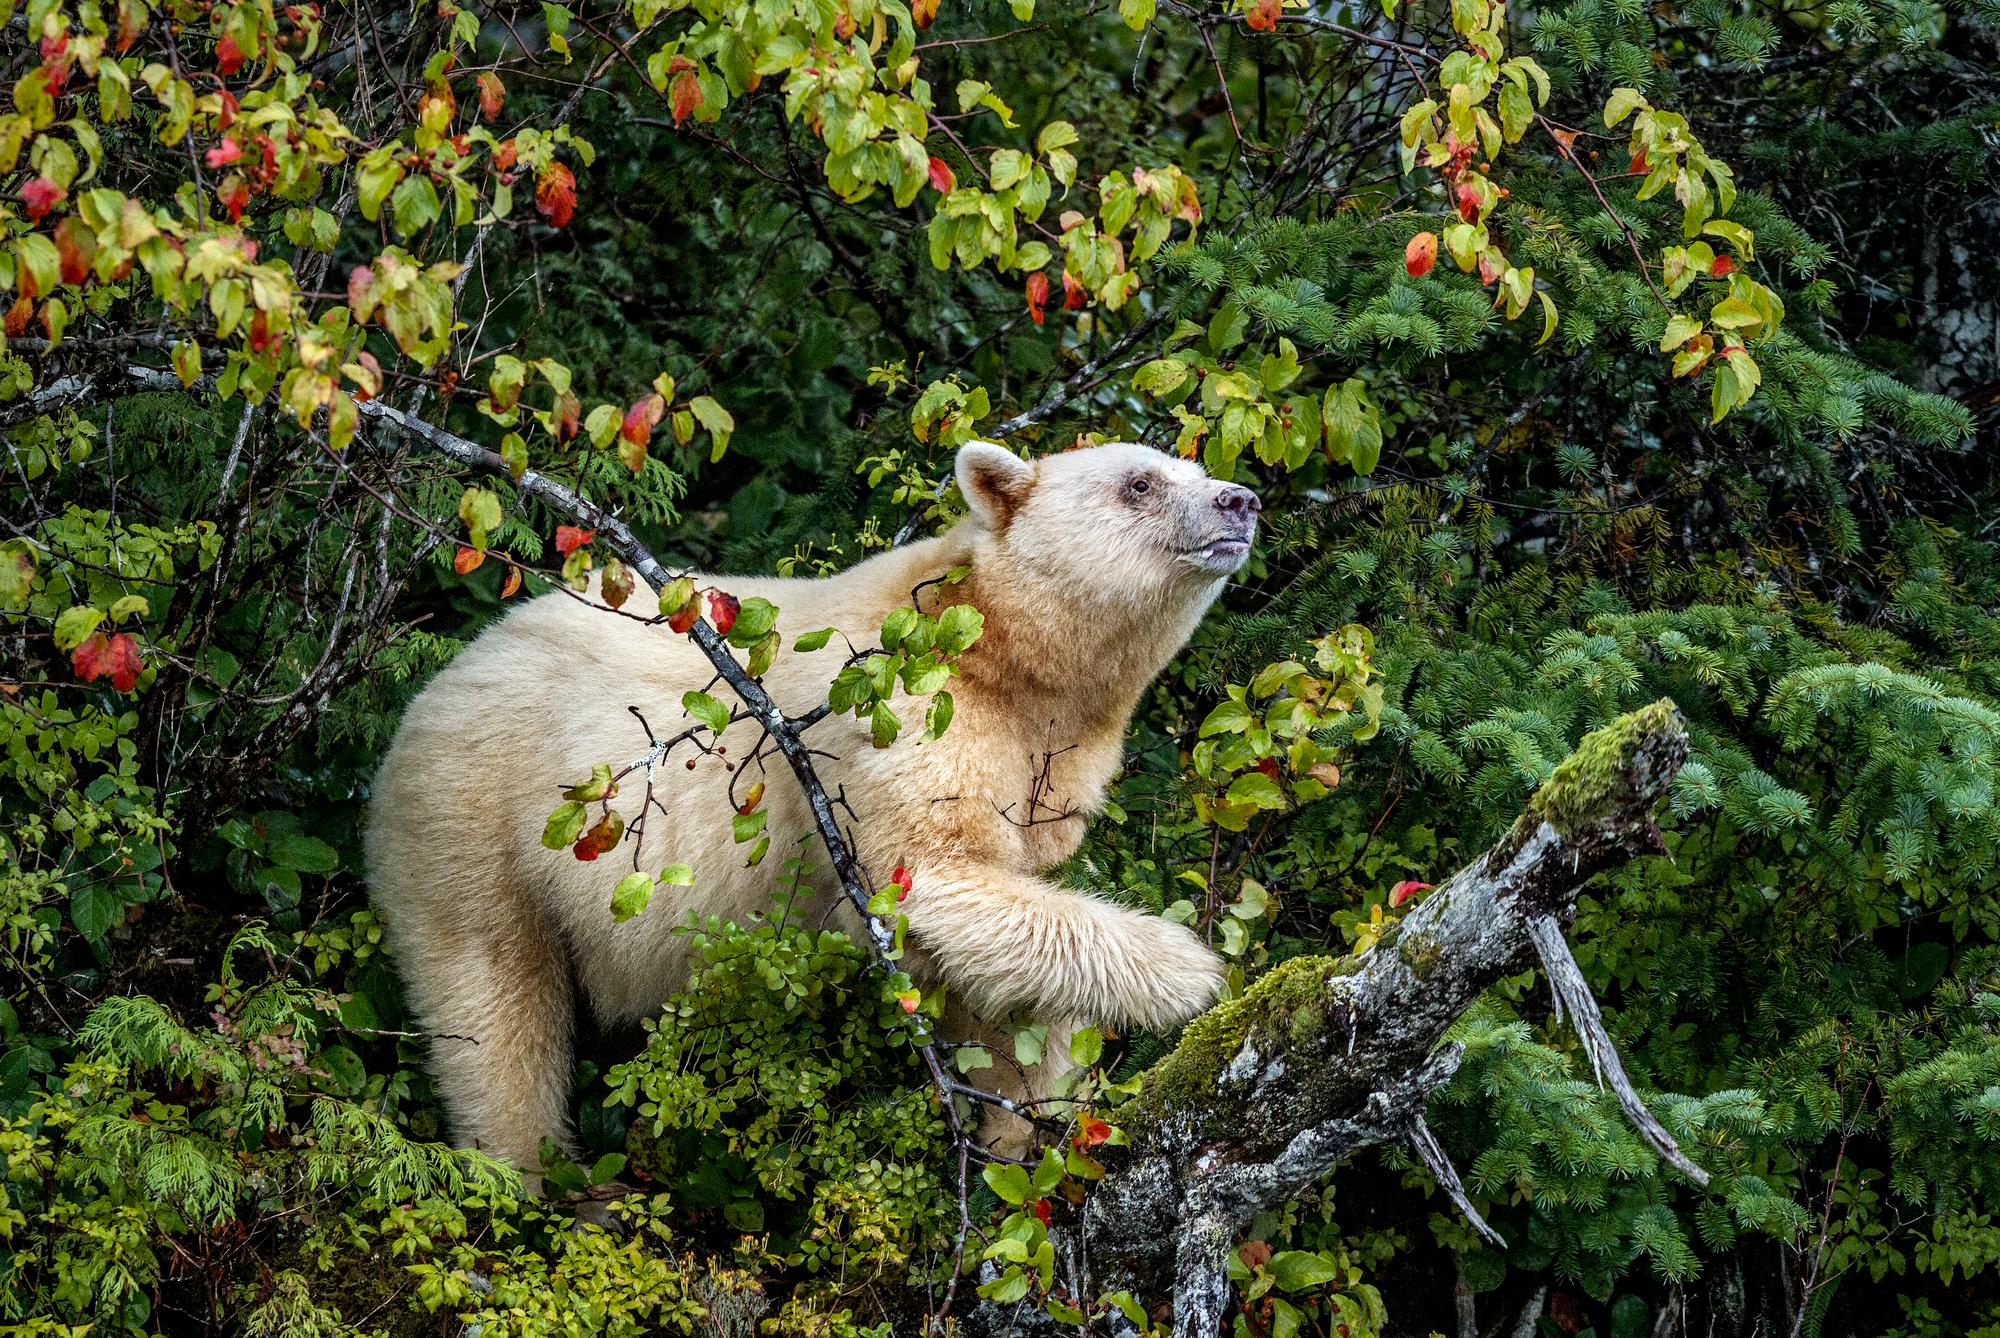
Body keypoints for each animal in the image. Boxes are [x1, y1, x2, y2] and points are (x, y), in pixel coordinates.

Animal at [368, 440, 1256, 1168]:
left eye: (1195, 465)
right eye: (1140, 482)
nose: (1240, 501)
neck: (1001, 654)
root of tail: (435, 688)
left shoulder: (1048, 770)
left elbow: (1006, 961)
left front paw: (1026, 1124)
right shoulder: (902, 718)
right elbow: (931, 878)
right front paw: (1191, 971)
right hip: (478, 819)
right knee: (494, 1011)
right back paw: (529, 1173)